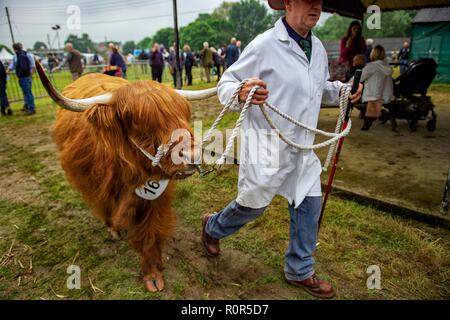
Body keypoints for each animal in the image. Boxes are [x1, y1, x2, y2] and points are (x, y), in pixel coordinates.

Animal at [36, 60, 215, 292]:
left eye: (184, 113)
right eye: (139, 122)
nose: (192, 155)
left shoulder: (156, 195)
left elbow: (149, 233)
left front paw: (152, 275)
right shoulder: (96, 185)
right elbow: (105, 207)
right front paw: (114, 229)